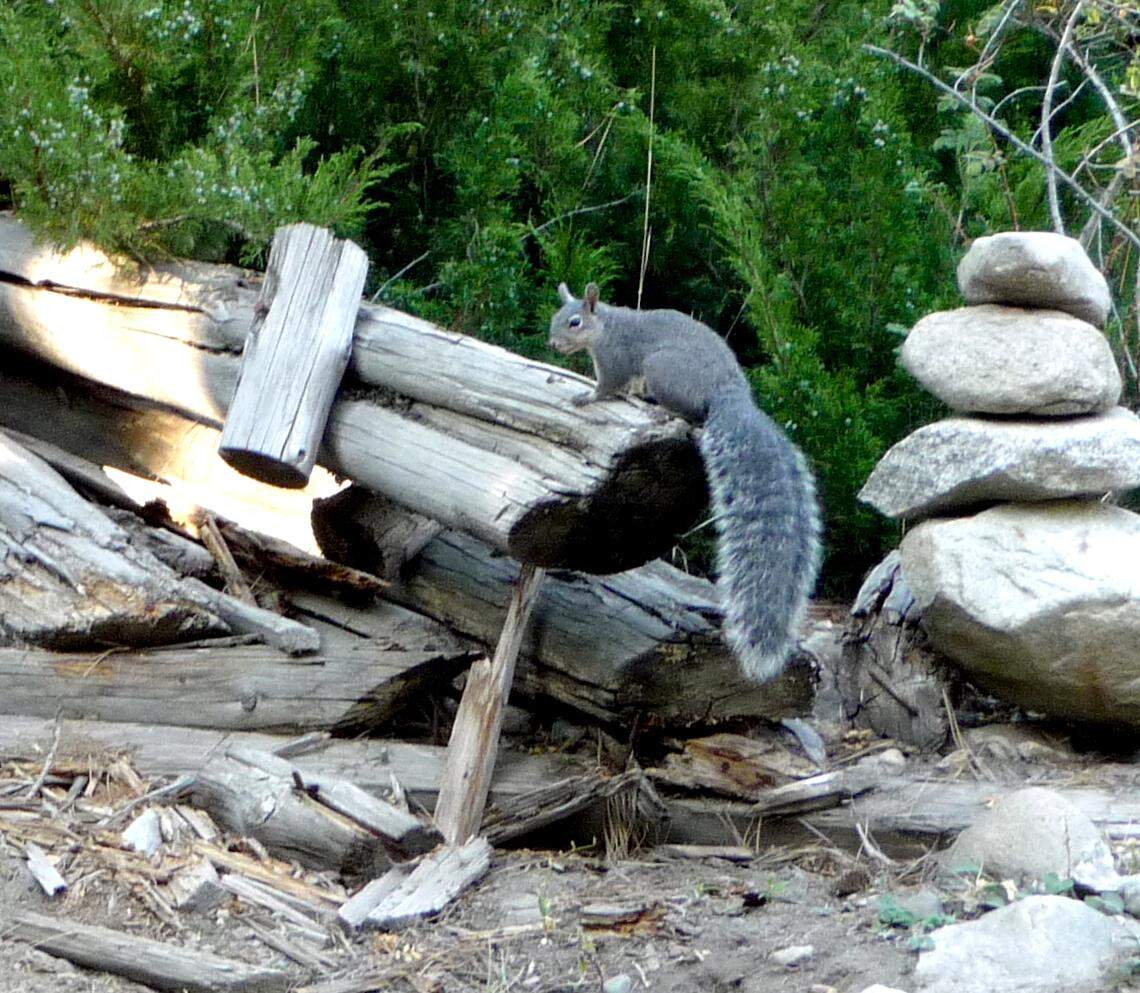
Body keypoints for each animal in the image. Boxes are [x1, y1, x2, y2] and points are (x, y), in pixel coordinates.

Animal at [549, 282, 821, 682]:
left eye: (574, 322)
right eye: (557, 318)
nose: (553, 343)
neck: (608, 327)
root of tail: (728, 393)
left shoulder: (616, 359)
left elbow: (606, 388)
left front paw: (586, 397)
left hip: (661, 368)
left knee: (692, 415)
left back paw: (661, 410)